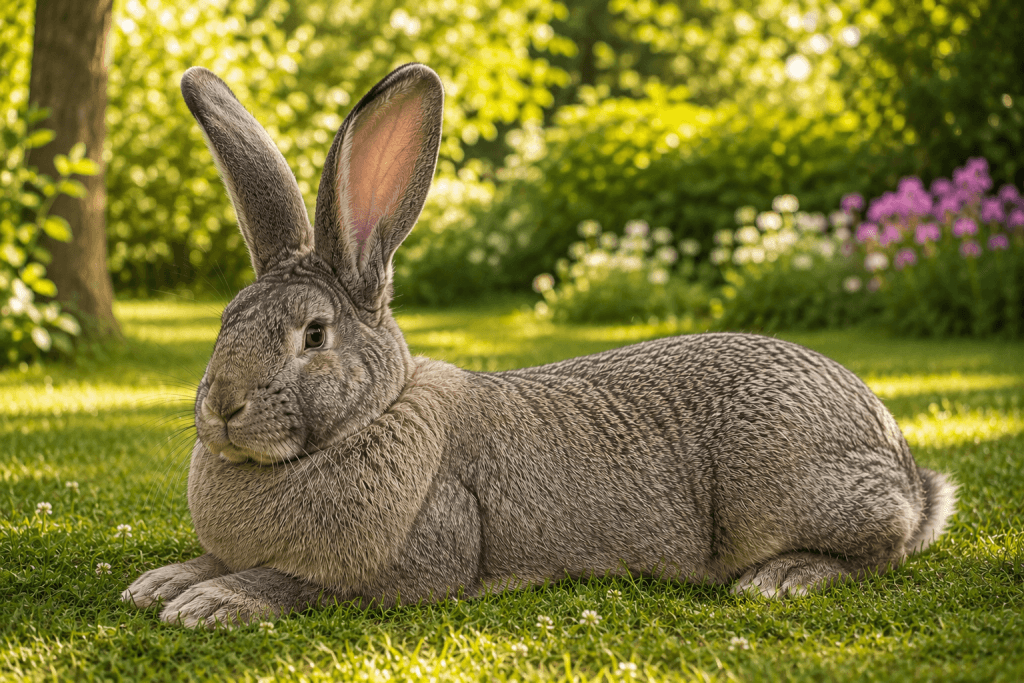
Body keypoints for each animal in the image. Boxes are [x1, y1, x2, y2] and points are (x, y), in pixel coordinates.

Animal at [121, 63, 957, 628]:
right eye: (228, 318)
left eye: (314, 334)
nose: (223, 406)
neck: (368, 417)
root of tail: (904, 465)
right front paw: (161, 582)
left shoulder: (402, 565)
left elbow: (299, 583)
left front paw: (210, 600)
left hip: (783, 489)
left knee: (877, 546)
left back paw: (782, 579)